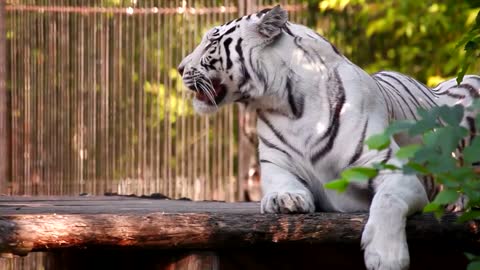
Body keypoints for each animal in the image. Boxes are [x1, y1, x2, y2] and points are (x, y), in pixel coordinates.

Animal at [176, 4, 480, 270]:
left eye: (212, 41)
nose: (179, 68)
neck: (289, 106)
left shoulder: (398, 173)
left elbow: (387, 200)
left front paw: (386, 256)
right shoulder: (276, 167)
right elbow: (282, 186)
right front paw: (286, 199)